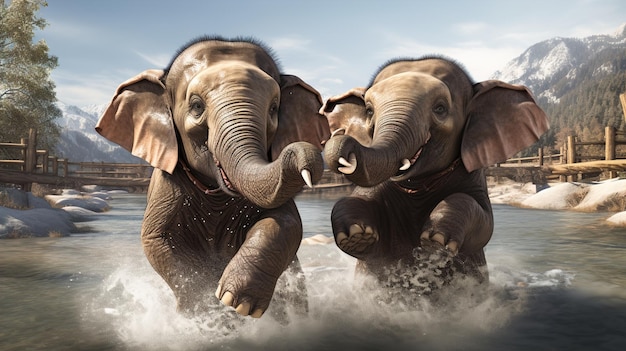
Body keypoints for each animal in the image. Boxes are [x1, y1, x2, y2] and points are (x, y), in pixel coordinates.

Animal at [95, 37, 330, 320]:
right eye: (197, 106)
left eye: (274, 109)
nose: (304, 155)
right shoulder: (166, 186)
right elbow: (156, 239)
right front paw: (211, 311)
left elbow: (288, 222)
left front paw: (237, 302)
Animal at [322, 57, 544, 294]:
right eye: (369, 111)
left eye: (440, 108)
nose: (340, 140)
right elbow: (357, 198)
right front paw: (356, 236)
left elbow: (485, 224)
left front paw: (435, 241)